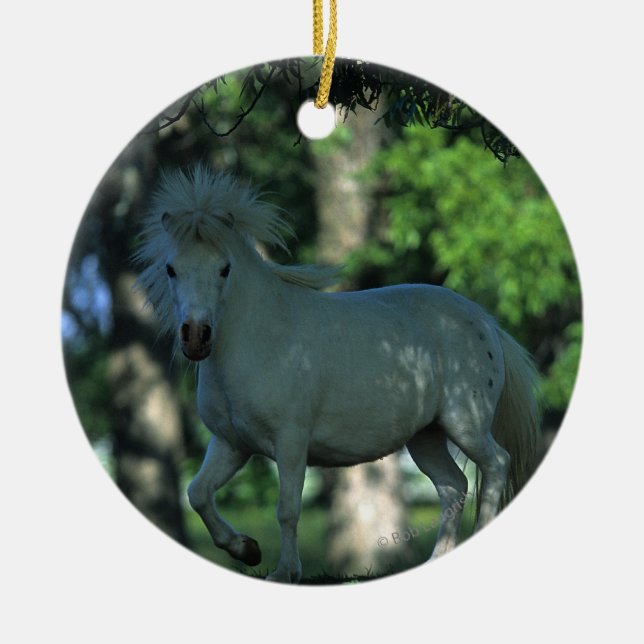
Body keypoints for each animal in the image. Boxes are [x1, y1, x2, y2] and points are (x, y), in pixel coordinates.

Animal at [135, 165, 541, 583]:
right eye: (171, 269)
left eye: (224, 269)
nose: (196, 336)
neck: (260, 336)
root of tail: (485, 321)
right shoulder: (231, 443)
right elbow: (197, 494)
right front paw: (246, 550)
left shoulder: (290, 442)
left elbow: (287, 509)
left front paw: (284, 572)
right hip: (426, 437)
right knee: (453, 486)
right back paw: (436, 561)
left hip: (466, 423)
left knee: (495, 465)